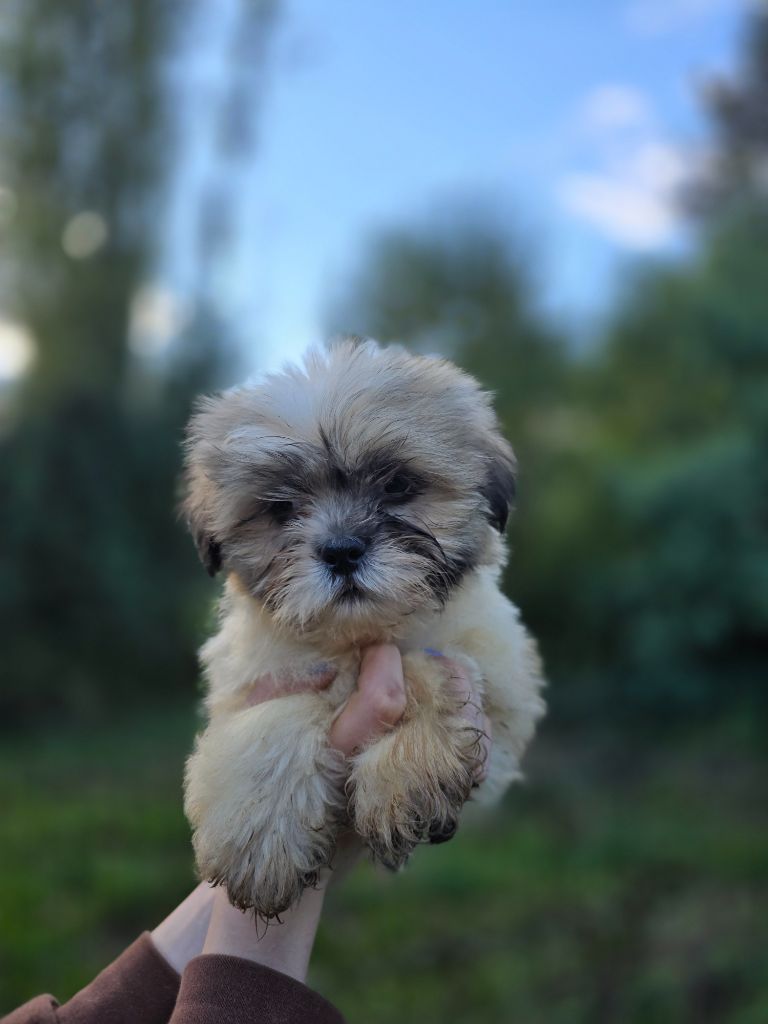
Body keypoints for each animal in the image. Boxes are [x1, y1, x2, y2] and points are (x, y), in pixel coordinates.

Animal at [182, 337, 544, 921]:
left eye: (397, 485)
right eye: (281, 508)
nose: (341, 550)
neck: (360, 638)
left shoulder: (502, 690)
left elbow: (425, 665)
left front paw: (403, 778)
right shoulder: (258, 681)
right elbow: (282, 711)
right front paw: (261, 836)